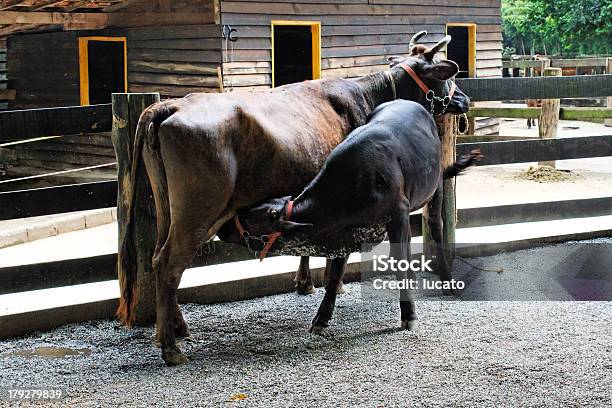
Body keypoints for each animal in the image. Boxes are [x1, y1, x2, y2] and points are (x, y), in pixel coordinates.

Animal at [119, 30, 470, 364]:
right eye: (445, 76)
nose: (464, 99)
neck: (369, 94)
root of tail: (171, 105)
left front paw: (306, 283)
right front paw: (328, 286)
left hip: (167, 208)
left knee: (157, 257)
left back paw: (175, 328)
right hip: (198, 212)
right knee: (169, 263)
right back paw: (171, 347)